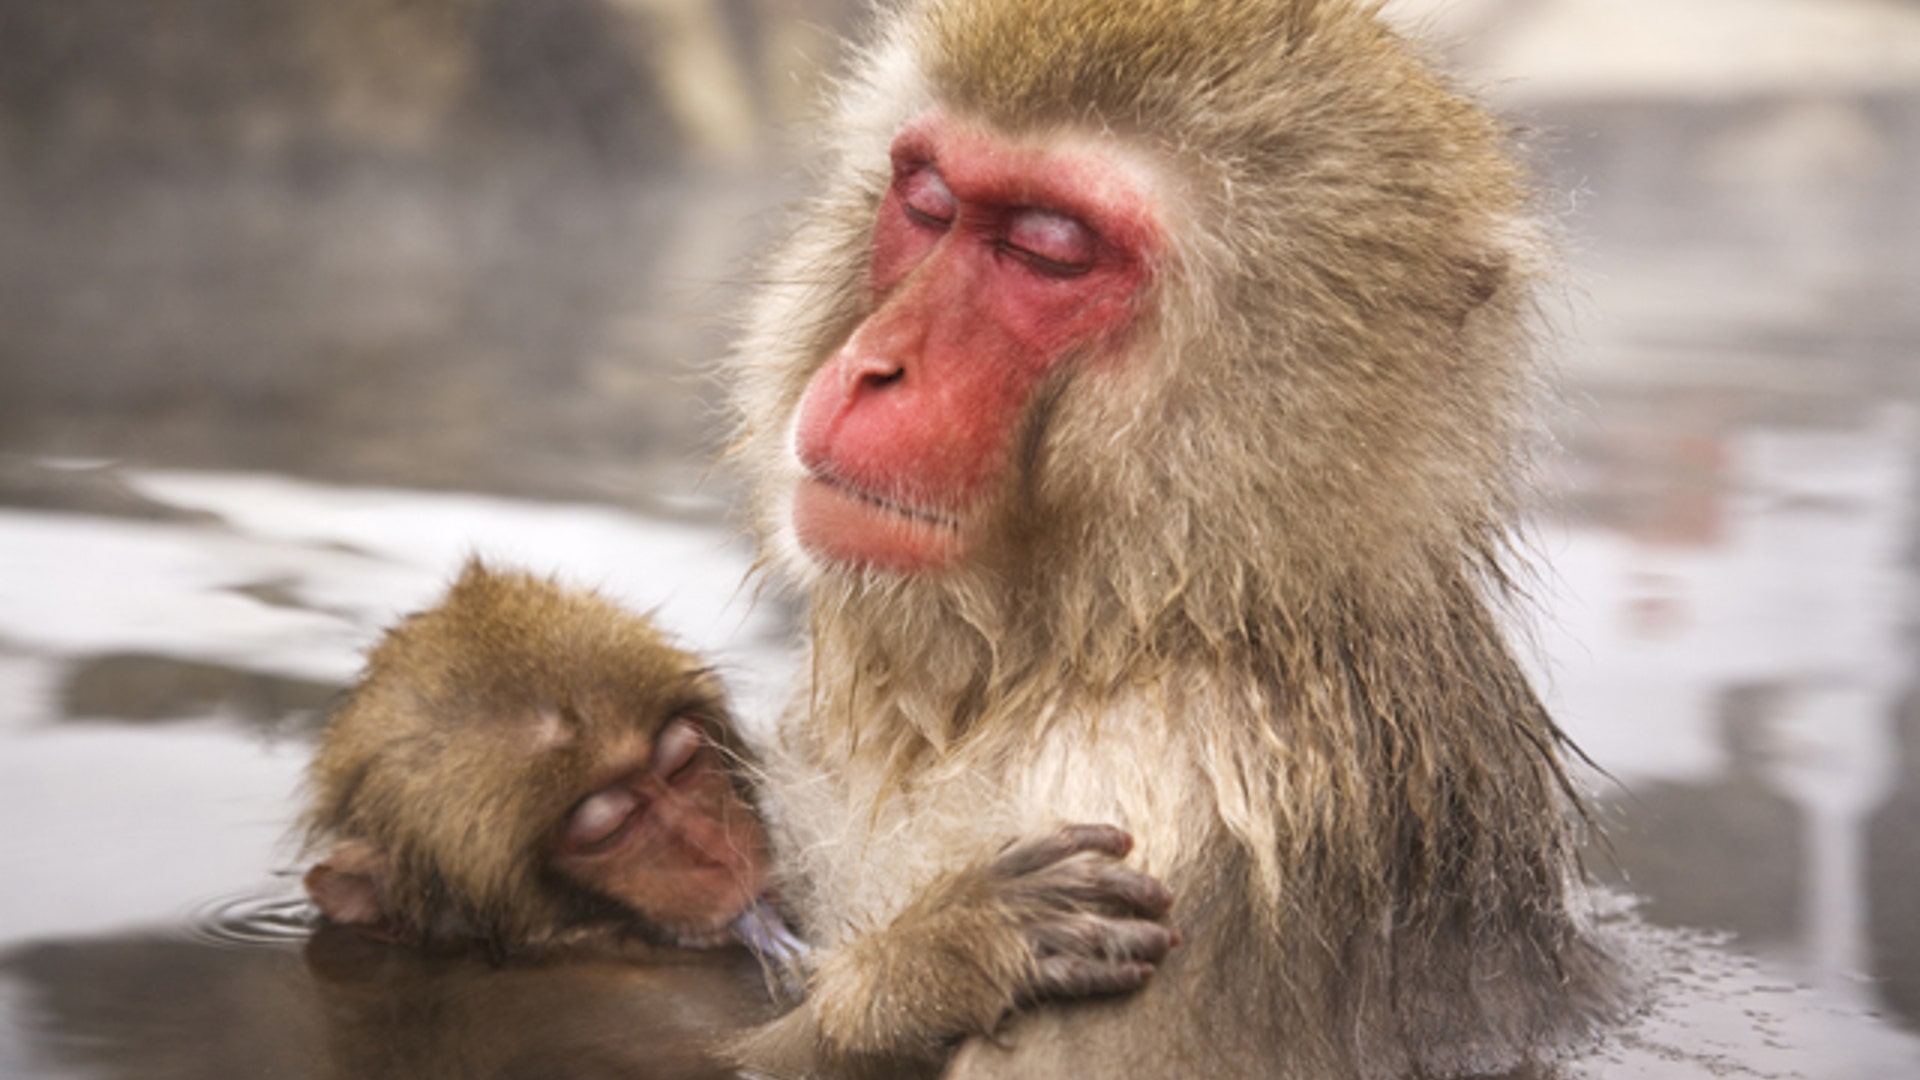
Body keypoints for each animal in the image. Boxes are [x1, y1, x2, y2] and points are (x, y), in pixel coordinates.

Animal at [723, 1, 1626, 1077]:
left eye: (1050, 250)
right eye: (932, 204)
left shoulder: (1171, 801)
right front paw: (947, 953)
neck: (1164, 613)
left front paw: (918, 969)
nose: (870, 366)